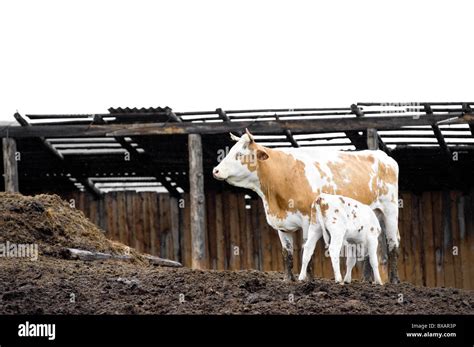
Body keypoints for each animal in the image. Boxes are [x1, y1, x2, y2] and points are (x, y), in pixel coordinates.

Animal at [212, 128, 400, 282]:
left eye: (239, 154)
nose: (216, 170)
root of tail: (383, 157)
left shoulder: (307, 220)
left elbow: (305, 249)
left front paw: (308, 279)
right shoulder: (281, 225)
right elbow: (287, 253)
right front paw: (288, 280)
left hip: (390, 211)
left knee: (393, 242)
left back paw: (394, 281)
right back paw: (366, 280)